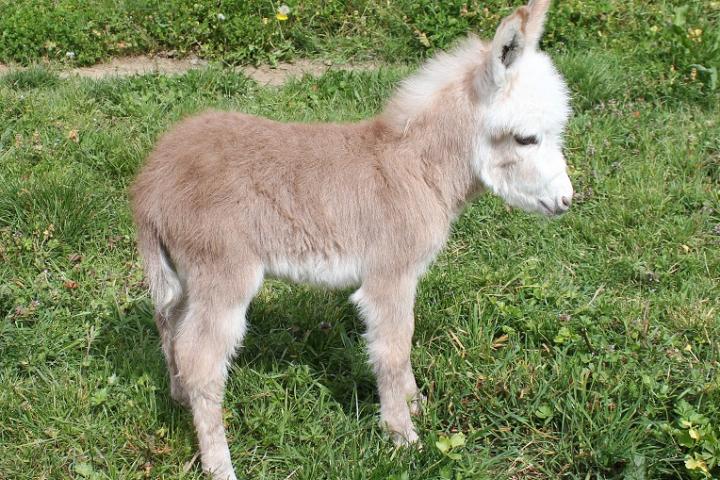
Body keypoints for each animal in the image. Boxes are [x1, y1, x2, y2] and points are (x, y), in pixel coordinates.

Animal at [131, 0, 572, 476]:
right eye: (526, 138)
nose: (567, 200)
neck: (418, 169)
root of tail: (151, 183)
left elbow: (401, 349)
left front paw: (415, 405)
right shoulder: (389, 276)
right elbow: (392, 350)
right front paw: (404, 439)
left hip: (185, 276)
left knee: (172, 331)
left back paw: (180, 402)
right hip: (224, 272)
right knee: (202, 360)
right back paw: (219, 465)